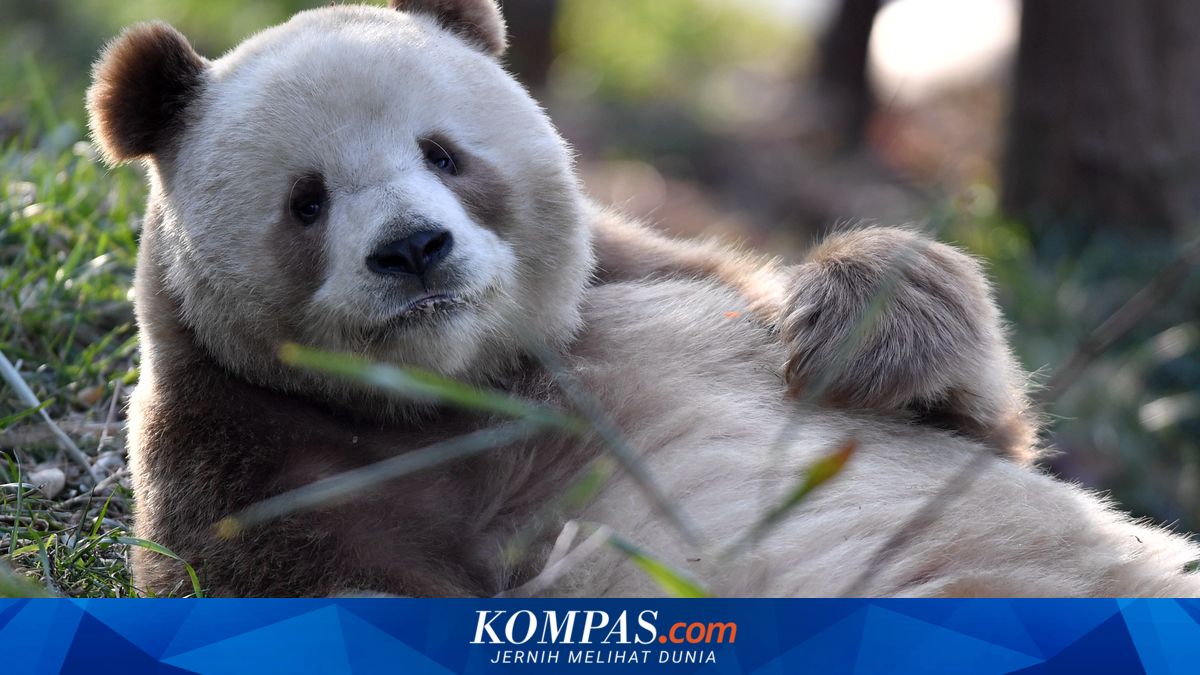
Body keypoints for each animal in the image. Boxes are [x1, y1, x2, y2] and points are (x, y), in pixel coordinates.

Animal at [86, 0, 1200, 596]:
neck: (465, 388)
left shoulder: (660, 284)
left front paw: (861, 326)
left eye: (443, 155)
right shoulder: (248, 472)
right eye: (306, 201)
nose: (414, 250)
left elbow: (973, 427)